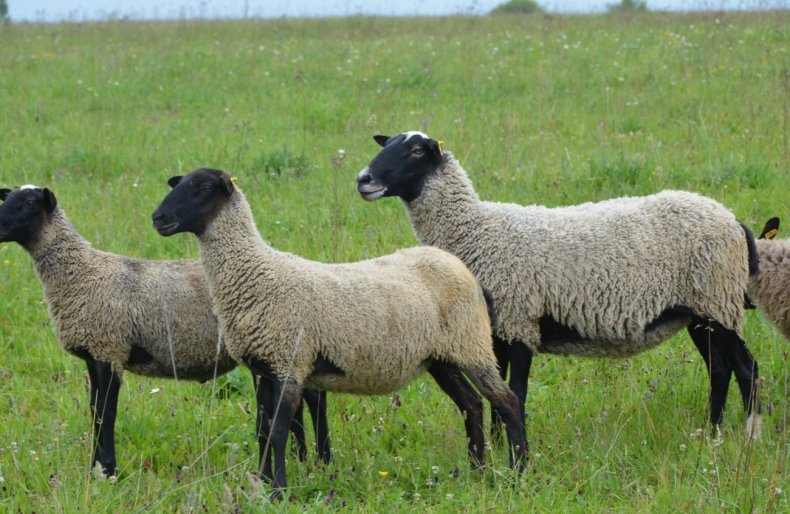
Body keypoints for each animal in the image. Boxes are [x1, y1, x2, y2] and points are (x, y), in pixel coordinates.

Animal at [0, 184, 332, 476]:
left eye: (28, 203)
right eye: (8, 198)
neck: (82, 273)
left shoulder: (110, 349)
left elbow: (107, 415)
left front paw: (109, 470)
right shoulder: (94, 355)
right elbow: (95, 413)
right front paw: (95, 470)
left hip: (284, 344)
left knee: (314, 399)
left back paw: (321, 460)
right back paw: (303, 458)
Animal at [152, 167, 528, 496]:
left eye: (202, 188)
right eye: (179, 182)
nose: (157, 218)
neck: (257, 274)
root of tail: (467, 273)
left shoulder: (290, 363)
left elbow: (277, 432)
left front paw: (279, 491)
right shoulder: (263, 369)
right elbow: (261, 431)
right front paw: (261, 484)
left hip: (472, 345)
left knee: (507, 402)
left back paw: (517, 472)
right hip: (441, 357)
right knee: (472, 405)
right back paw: (476, 470)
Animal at [360, 131, 768, 436]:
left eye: (416, 150)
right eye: (386, 144)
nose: (363, 179)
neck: (476, 231)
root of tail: (732, 219)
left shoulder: (519, 323)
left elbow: (517, 394)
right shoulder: (495, 332)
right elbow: (498, 396)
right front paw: (499, 444)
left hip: (718, 303)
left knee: (747, 368)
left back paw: (749, 435)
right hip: (699, 312)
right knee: (720, 369)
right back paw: (711, 433)